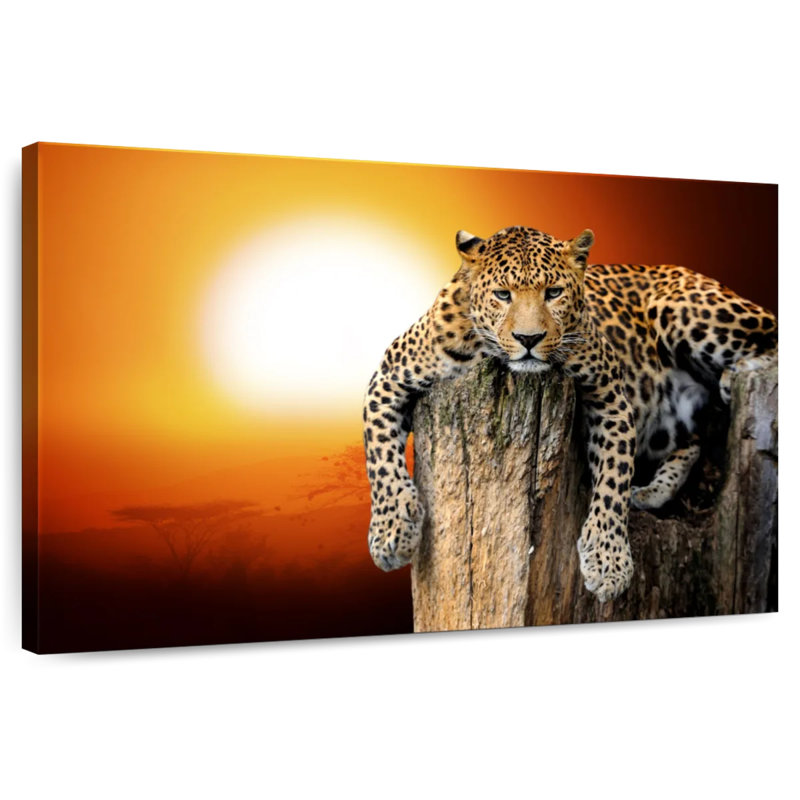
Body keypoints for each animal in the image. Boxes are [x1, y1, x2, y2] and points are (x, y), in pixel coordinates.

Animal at [362, 225, 777, 602]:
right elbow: (380, 458)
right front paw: (391, 534)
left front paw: (608, 562)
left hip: (683, 308)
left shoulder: (610, 394)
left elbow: (613, 478)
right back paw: (651, 491)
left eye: (553, 293)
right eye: (502, 295)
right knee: (692, 441)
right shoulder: (388, 376)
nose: (529, 339)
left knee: (772, 334)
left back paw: (738, 374)